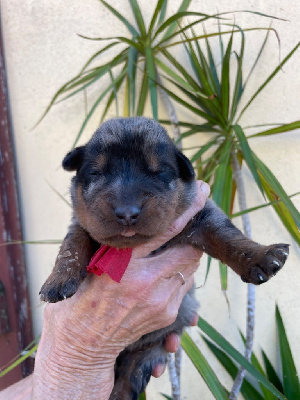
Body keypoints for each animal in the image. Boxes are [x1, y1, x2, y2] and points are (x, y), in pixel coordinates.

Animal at [39, 117, 288, 398]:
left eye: (158, 172)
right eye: (96, 173)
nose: (127, 213)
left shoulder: (203, 216)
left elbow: (228, 237)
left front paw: (261, 256)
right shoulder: (83, 223)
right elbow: (72, 243)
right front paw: (58, 279)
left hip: (148, 352)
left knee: (129, 378)